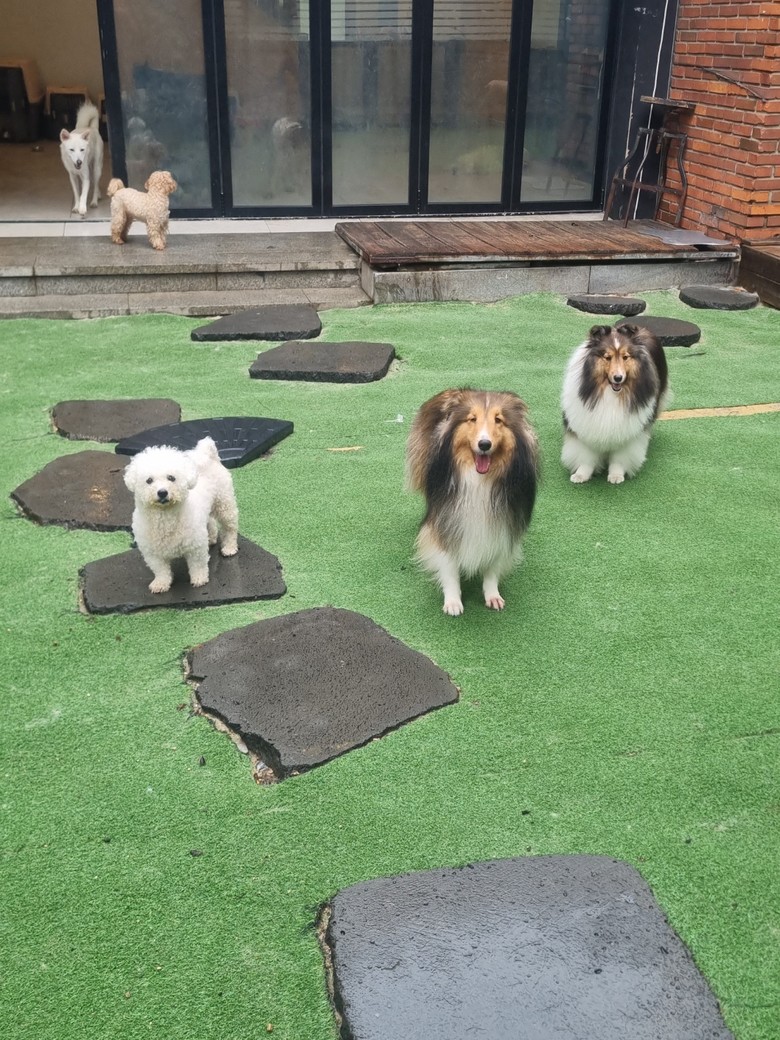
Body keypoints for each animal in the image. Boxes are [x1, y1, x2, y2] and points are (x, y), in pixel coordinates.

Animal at [123, 437, 239, 594]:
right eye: (149, 480)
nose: (162, 492)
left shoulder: (195, 546)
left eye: (171, 478)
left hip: (224, 502)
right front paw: (161, 583)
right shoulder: (152, 553)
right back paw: (211, 538)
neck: (165, 518)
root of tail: (207, 454)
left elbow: (198, 564)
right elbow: (160, 570)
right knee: (210, 521)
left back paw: (230, 547)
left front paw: (199, 579)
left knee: (230, 527)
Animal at [406, 388, 540, 616]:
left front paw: (492, 594)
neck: (479, 480)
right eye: (472, 419)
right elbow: (449, 565)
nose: (484, 444)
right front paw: (452, 601)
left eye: (498, 420)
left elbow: (493, 565)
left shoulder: (504, 523)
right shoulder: (446, 520)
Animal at [561, 323, 669, 485]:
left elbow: (620, 457)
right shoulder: (586, 423)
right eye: (607, 357)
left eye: (625, 357)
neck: (610, 393)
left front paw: (616, 475)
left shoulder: (628, 431)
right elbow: (587, 455)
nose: (618, 378)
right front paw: (581, 475)